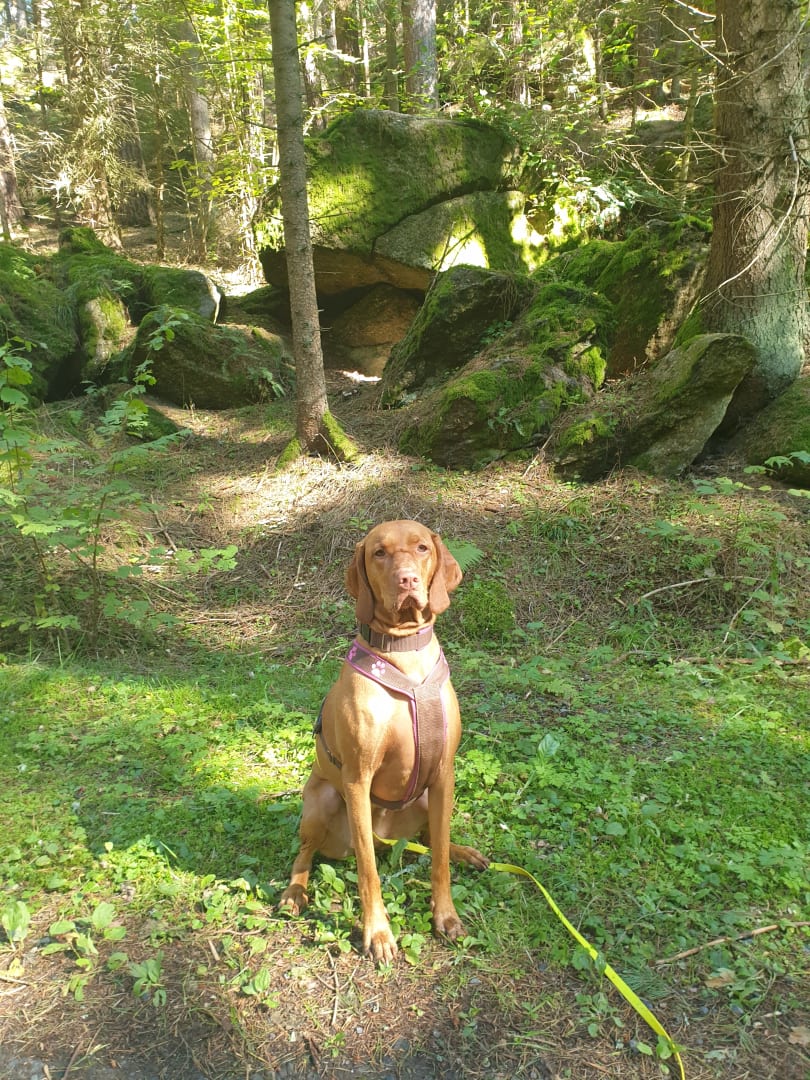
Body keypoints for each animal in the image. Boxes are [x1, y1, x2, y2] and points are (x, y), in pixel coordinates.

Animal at [279, 520, 488, 963]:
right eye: (379, 553)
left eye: (422, 548)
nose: (407, 579)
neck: (404, 655)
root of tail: (388, 833)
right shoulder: (358, 779)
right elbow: (368, 870)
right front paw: (377, 933)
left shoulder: (444, 773)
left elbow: (439, 860)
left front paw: (445, 915)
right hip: (321, 801)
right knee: (307, 852)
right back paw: (294, 892)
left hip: (425, 799)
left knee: (430, 840)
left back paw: (463, 852)